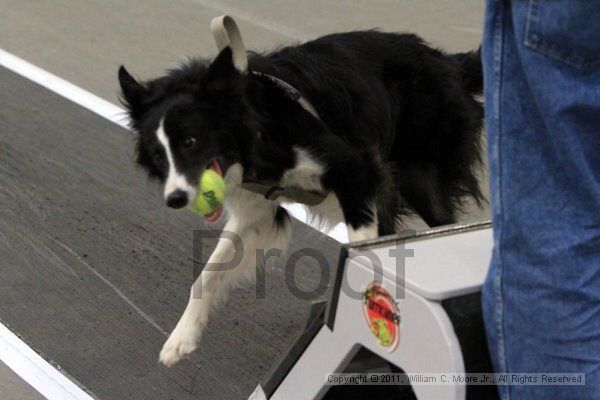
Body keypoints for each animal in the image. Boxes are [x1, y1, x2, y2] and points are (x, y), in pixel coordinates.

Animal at [117, 27, 482, 366]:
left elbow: (360, 246)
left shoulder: (355, 167)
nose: (176, 199)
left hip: (418, 172)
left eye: (190, 141)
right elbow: (209, 273)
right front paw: (181, 338)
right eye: (158, 155)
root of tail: (446, 60)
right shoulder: (257, 208)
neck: (254, 128)